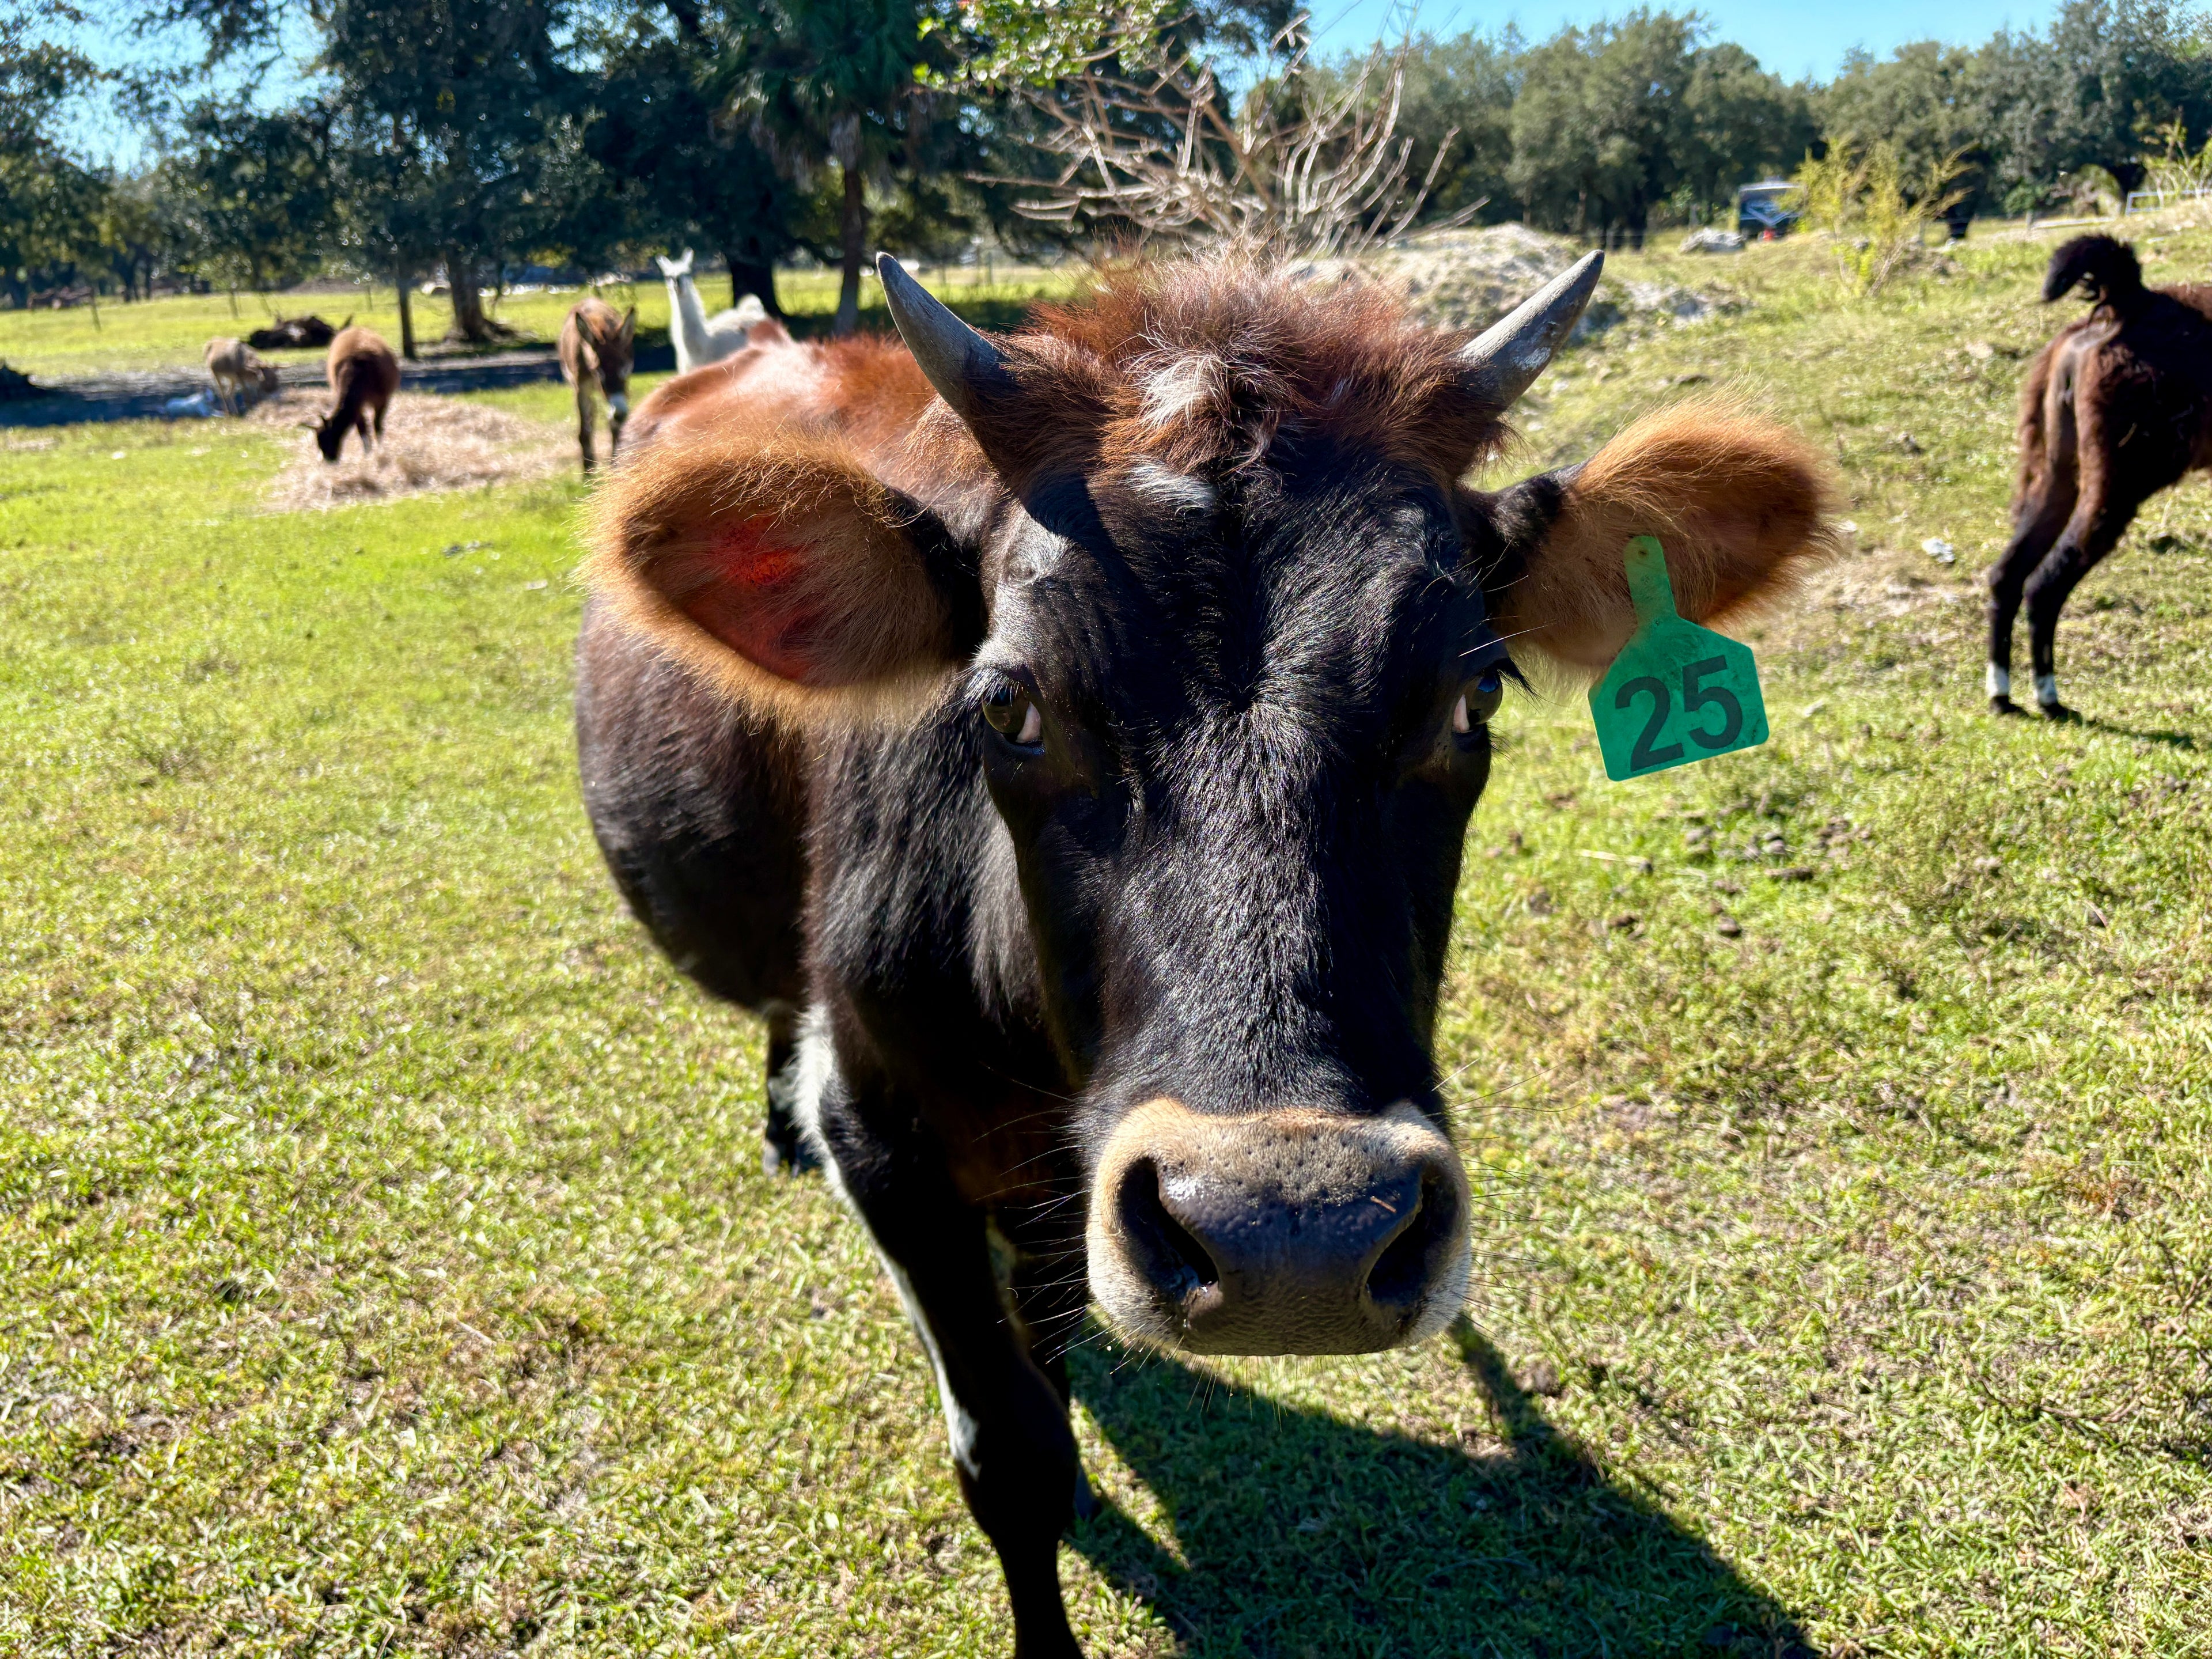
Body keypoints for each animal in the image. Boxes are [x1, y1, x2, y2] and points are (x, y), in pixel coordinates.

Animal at [576, 251, 1833, 1654]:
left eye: (1475, 695)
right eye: (1007, 702)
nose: (1296, 1238)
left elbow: (1049, 1366)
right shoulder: (888, 1139)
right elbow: (1008, 1454)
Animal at [1988, 233, 2212, 719]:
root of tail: (2127, 304)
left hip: (2055, 469)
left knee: (2006, 575)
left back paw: (2002, 696)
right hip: (2122, 474)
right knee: (2044, 585)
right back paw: (2050, 700)